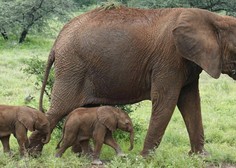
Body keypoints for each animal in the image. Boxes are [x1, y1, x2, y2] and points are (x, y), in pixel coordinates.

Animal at [28, 6, 236, 156]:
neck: (214, 18)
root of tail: (58, 39)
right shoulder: (169, 60)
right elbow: (166, 101)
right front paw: (145, 158)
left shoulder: (189, 63)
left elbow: (191, 103)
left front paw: (201, 157)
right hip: (72, 67)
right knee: (59, 110)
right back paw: (31, 156)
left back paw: (82, 156)